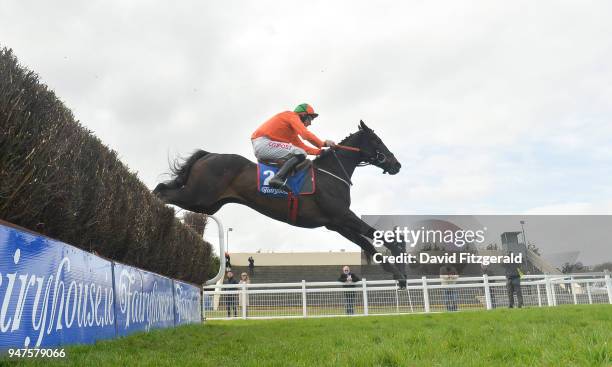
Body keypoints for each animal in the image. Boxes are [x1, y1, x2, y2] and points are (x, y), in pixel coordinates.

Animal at [154, 121, 406, 284]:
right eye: (376, 140)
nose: (397, 164)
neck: (330, 174)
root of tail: (208, 155)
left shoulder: (336, 222)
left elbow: (367, 243)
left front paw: (398, 275)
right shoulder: (342, 215)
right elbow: (374, 234)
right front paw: (399, 253)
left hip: (206, 203)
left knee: (164, 190)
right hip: (199, 196)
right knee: (161, 193)